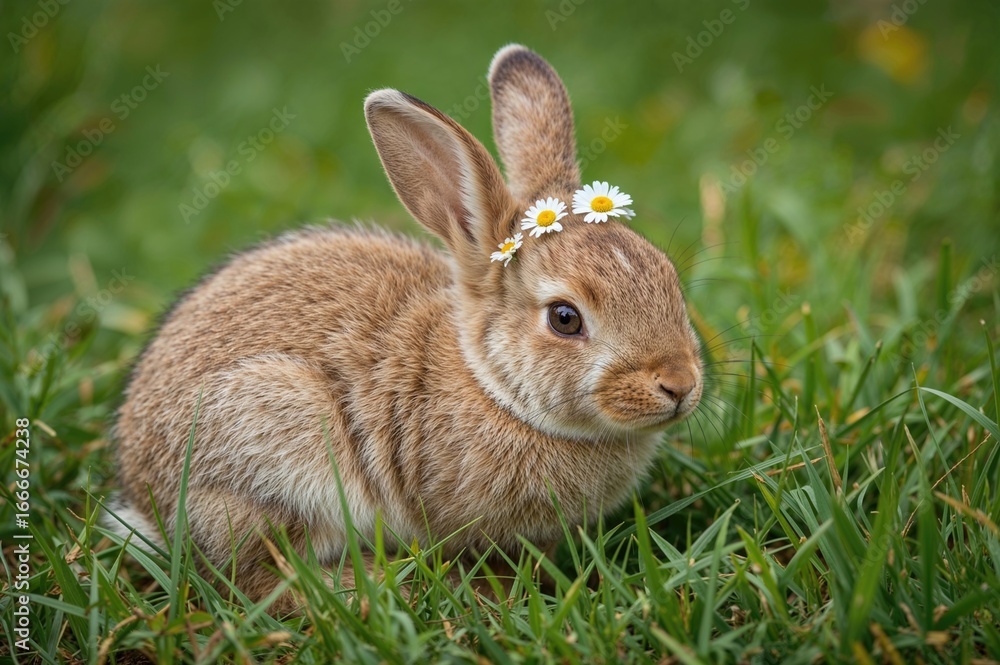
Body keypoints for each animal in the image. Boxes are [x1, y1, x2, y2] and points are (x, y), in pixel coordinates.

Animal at [107, 44, 703, 611]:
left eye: (668, 278)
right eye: (565, 318)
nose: (679, 385)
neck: (494, 387)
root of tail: (147, 497)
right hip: (278, 439)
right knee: (261, 577)